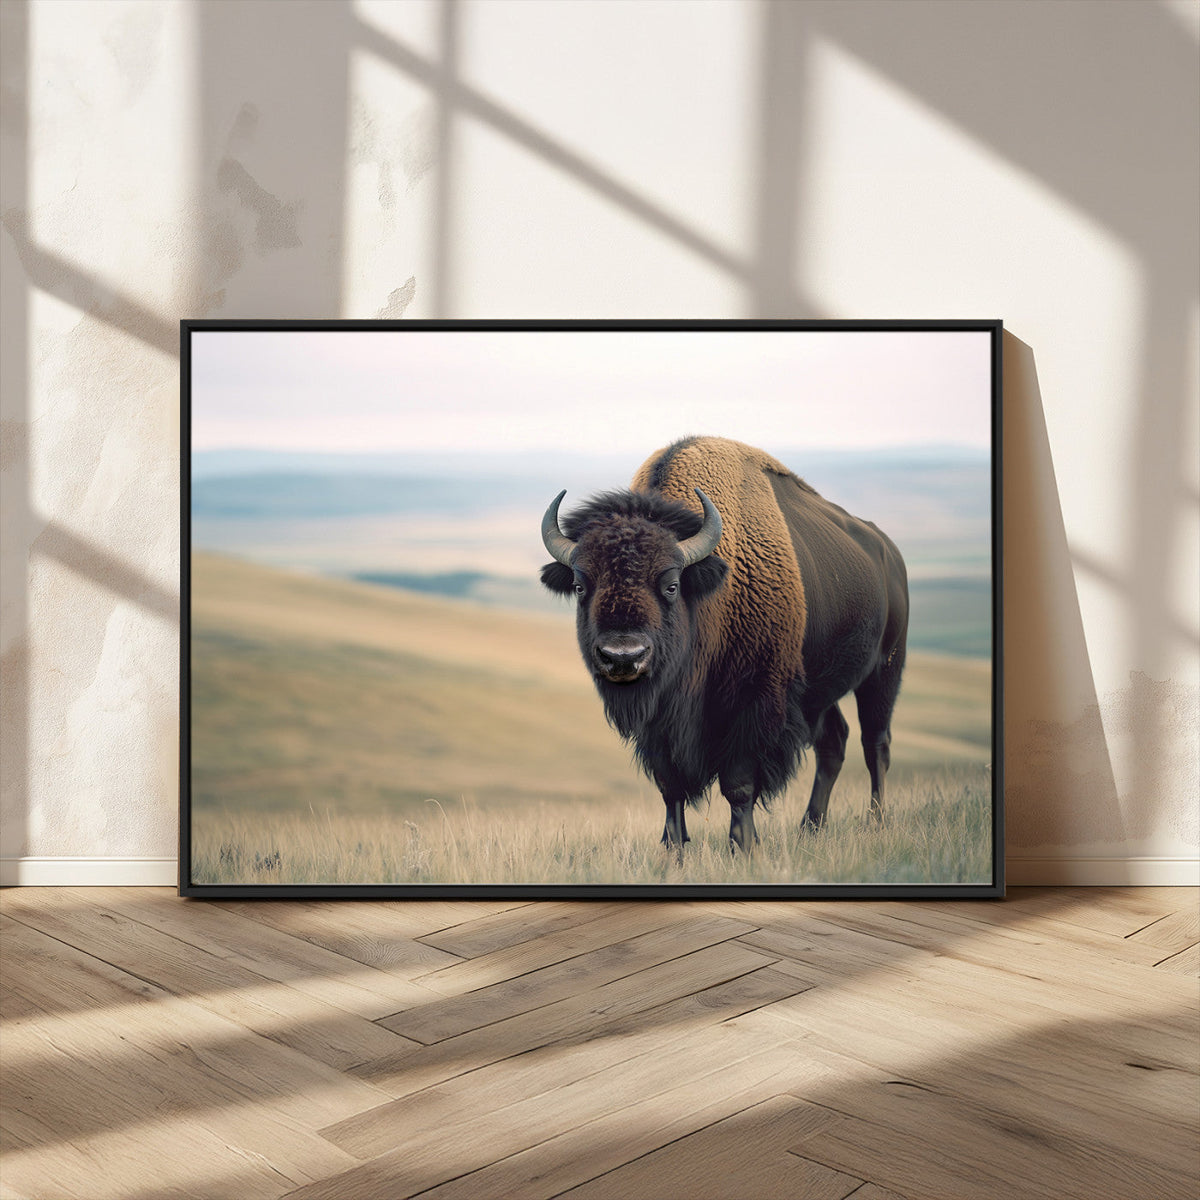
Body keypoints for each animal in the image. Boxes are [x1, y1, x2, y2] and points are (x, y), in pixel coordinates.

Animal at [540, 436, 908, 855]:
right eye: (580, 586)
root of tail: (890, 553)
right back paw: (810, 827)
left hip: (884, 671)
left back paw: (875, 822)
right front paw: (673, 848)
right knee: (834, 742)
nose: (623, 657)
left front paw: (742, 846)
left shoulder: (754, 702)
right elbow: (670, 786)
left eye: (671, 585)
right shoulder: (660, 725)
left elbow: (739, 784)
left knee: (875, 744)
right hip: (817, 690)